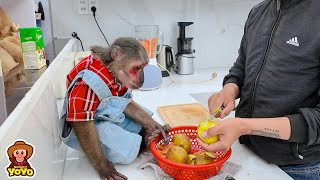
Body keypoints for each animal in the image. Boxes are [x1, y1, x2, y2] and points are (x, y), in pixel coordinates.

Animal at [60, 37, 170, 179]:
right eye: (138, 67)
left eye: (144, 67)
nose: (142, 80)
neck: (109, 70)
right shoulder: (85, 83)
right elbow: (82, 120)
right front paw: (104, 167)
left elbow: (126, 102)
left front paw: (156, 126)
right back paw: (144, 143)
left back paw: (146, 135)